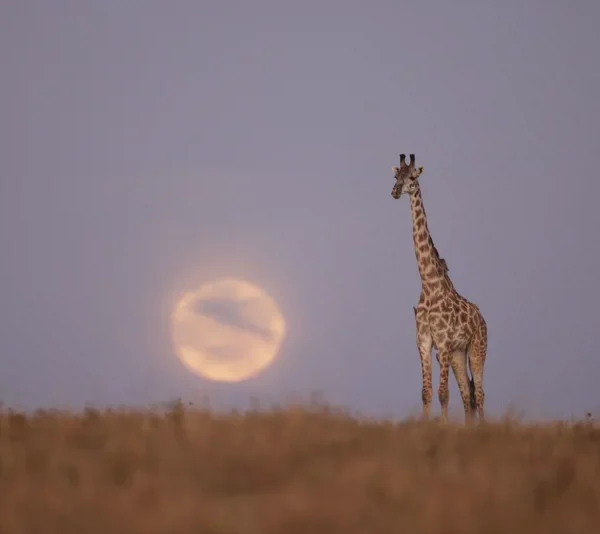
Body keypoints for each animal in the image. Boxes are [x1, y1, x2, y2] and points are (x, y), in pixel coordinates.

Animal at [390, 155, 488, 428]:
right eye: (396, 176)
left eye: (413, 177)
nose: (395, 191)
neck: (429, 283)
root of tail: (482, 319)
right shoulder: (424, 342)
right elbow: (426, 392)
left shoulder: (442, 343)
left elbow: (443, 394)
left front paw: (442, 428)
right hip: (458, 353)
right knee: (468, 393)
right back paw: (470, 427)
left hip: (477, 348)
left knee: (480, 392)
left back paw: (484, 427)